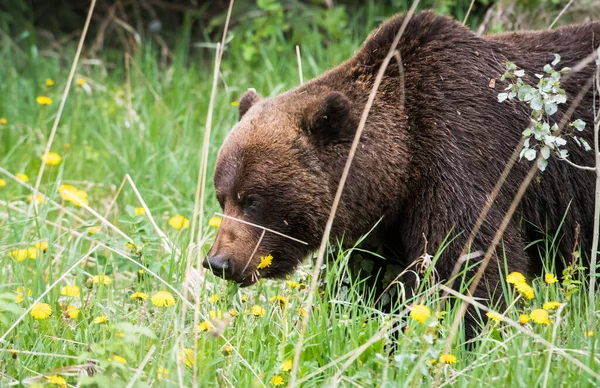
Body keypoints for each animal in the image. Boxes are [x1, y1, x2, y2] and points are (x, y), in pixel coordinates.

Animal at [205, 12, 600, 320]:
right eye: (222, 197)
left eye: (252, 199)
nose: (219, 262)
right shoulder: (382, 221)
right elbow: (368, 278)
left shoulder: (462, 154)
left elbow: (466, 261)